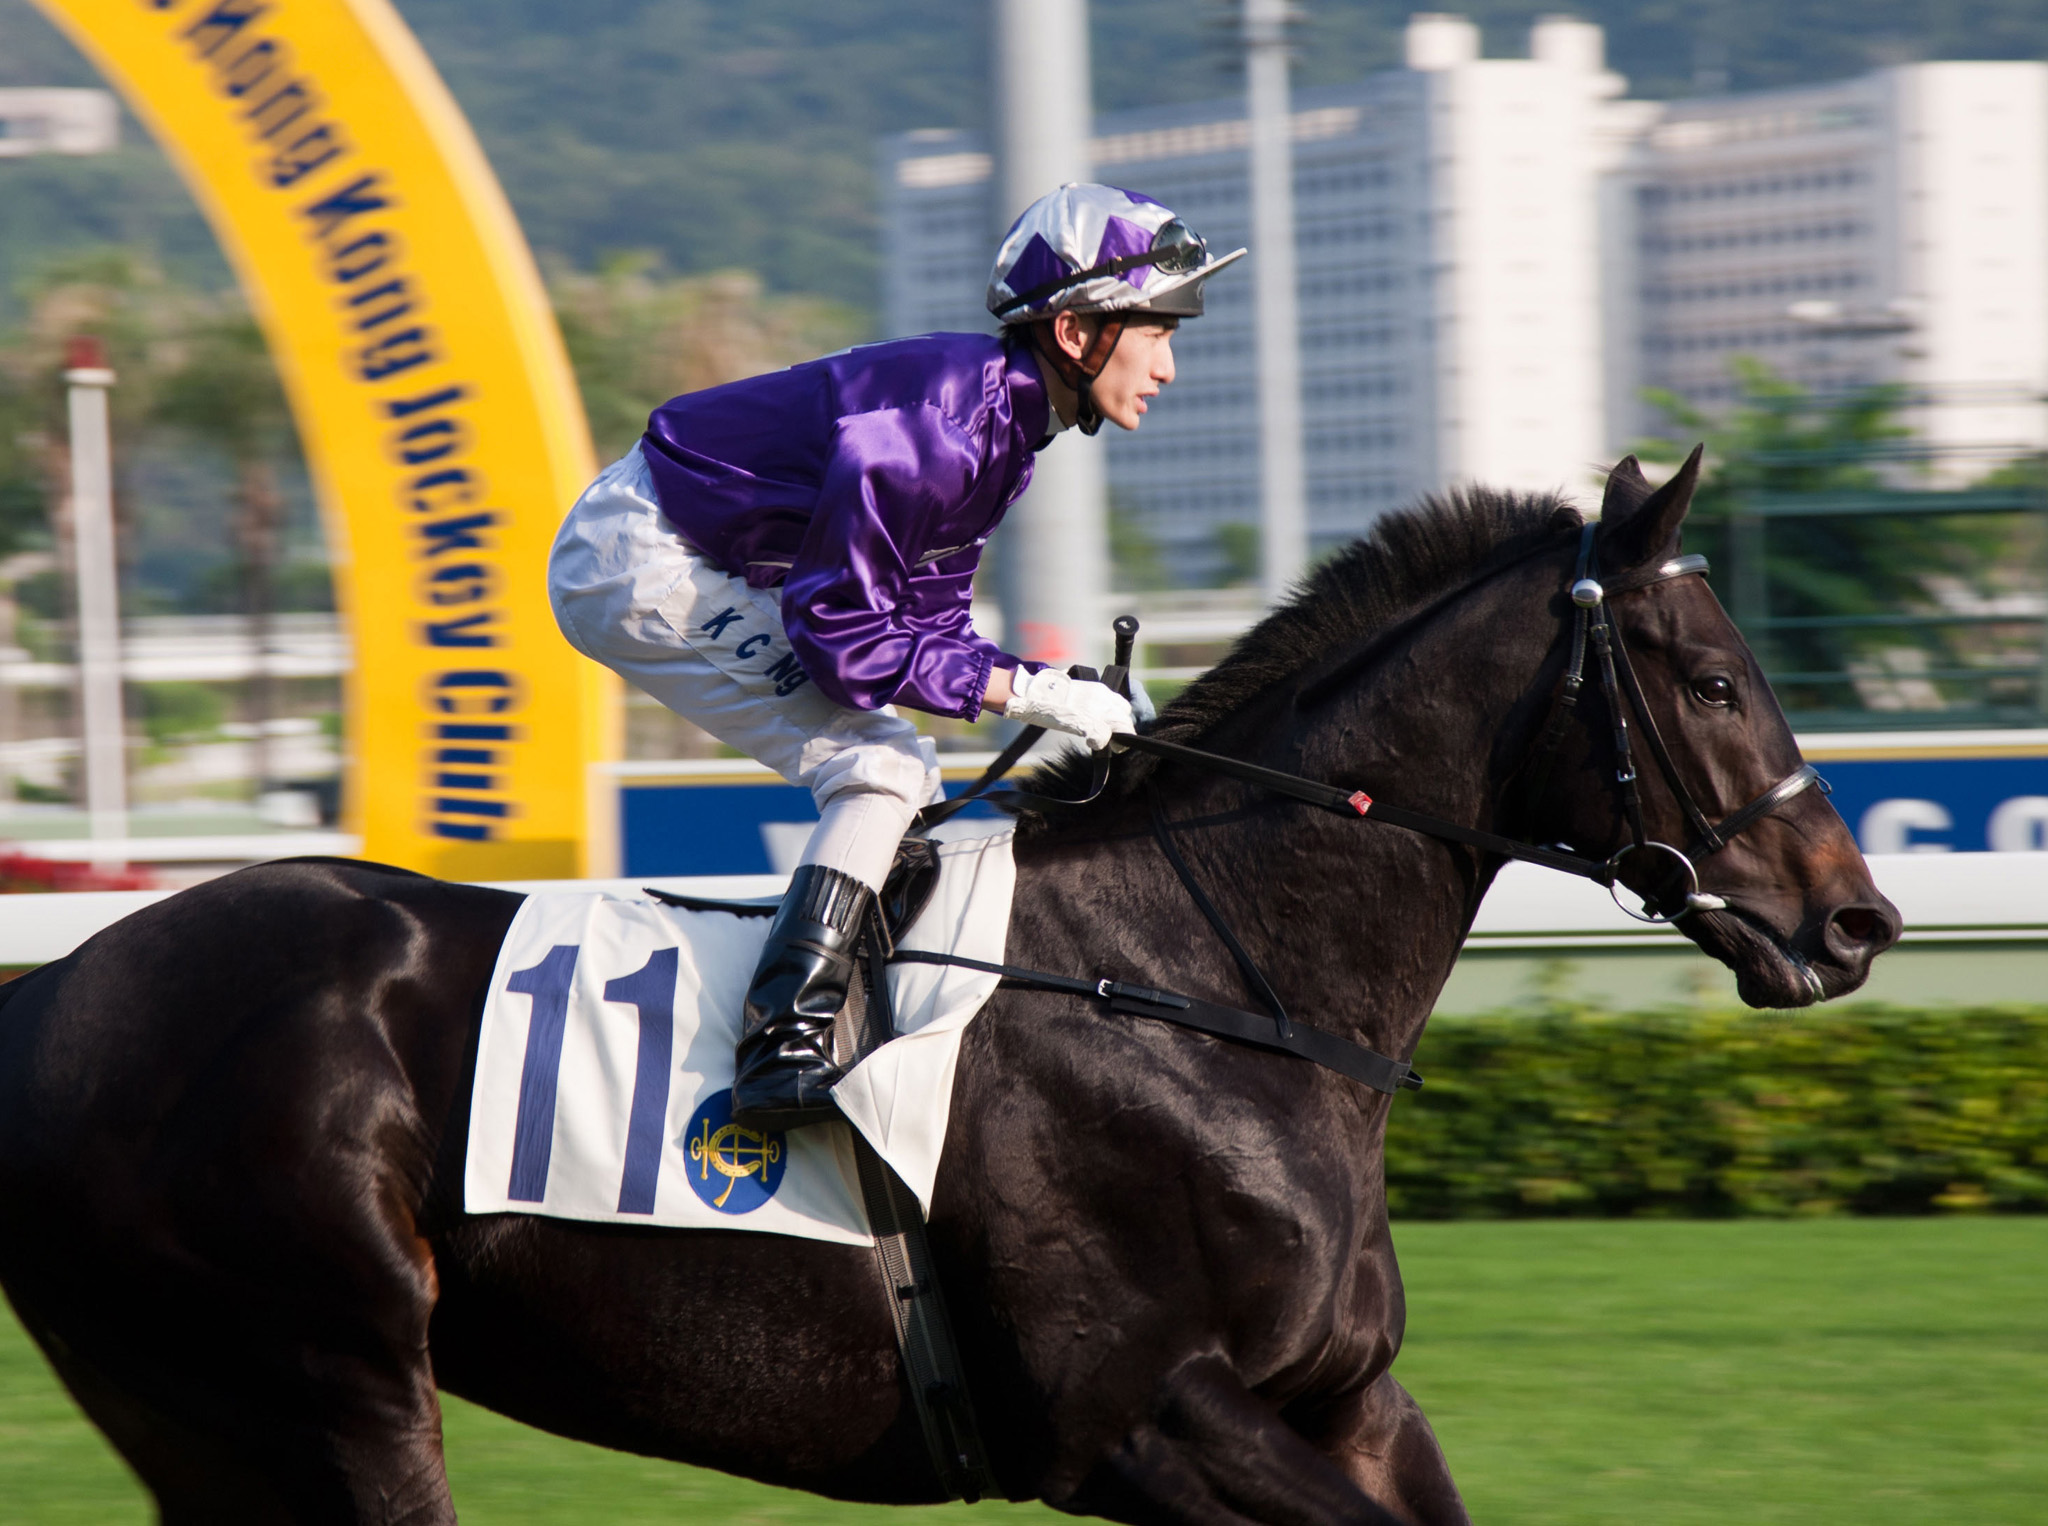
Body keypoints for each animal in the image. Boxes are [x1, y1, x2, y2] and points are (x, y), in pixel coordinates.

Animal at [0, 458, 1892, 1515]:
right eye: (1712, 679)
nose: (1856, 916)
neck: (1196, 982)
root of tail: (59, 987)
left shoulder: (1343, 1401)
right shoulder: (1133, 1417)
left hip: (207, 1406)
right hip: (322, 1378)